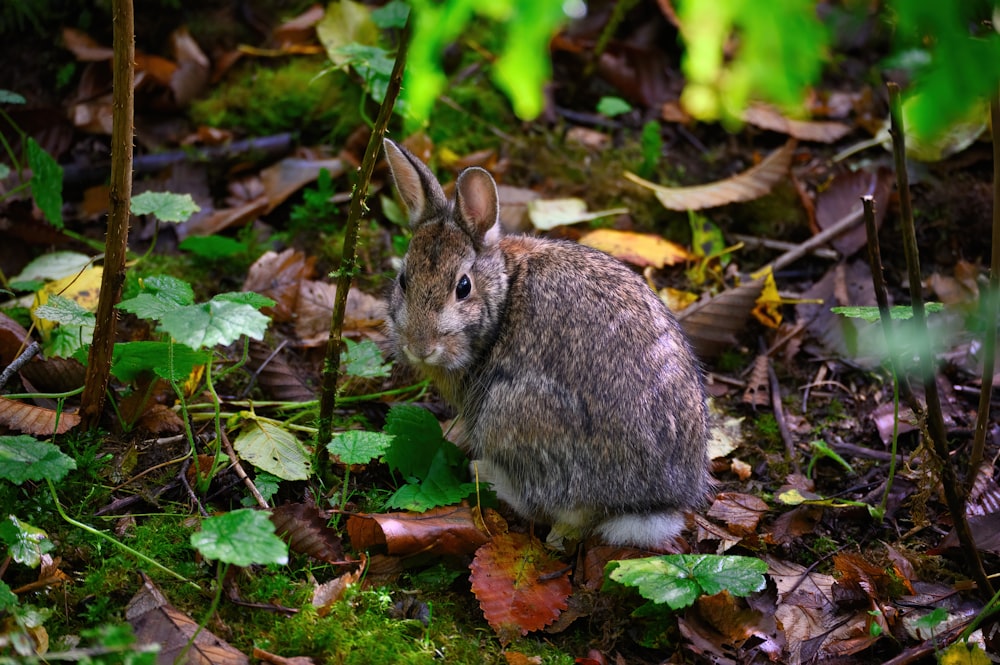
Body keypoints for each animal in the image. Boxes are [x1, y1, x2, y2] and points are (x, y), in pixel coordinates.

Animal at [382, 137, 712, 548]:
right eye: (402, 280)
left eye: (463, 287)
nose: (420, 346)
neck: (505, 290)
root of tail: (648, 506)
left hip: (511, 411)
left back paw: (484, 472)